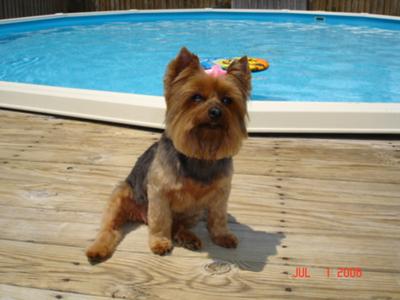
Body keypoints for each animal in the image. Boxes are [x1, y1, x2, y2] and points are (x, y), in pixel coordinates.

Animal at [86, 47, 252, 260]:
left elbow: (218, 216)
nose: (215, 112)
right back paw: (97, 249)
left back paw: (187, 237)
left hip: (193, 211)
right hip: (122, 195)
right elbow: (161, 220)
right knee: (110, 226)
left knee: (178, 224)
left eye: (227, 100)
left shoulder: (220, 193)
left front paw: (222, 235)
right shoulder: (159, 194)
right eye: (196, 97)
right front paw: (159, 242)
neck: (200, 154)